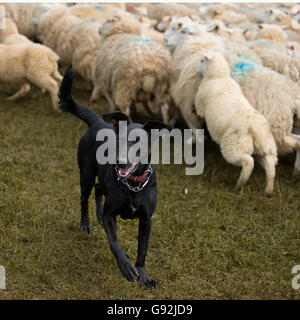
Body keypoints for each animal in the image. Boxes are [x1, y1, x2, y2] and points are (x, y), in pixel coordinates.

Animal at [58, 67, 171, 288]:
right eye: (120, 140)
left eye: (139, 143)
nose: (120, 162)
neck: (133, 185)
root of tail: (99, 122)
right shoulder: (112, 214)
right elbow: (115, 243)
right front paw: (125, 266)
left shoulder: (147, 220)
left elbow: (142, 251)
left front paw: (143, 275)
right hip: (85, 174)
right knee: (85, 197)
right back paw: (86, 224)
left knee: (98, 188)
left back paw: (98, 216)